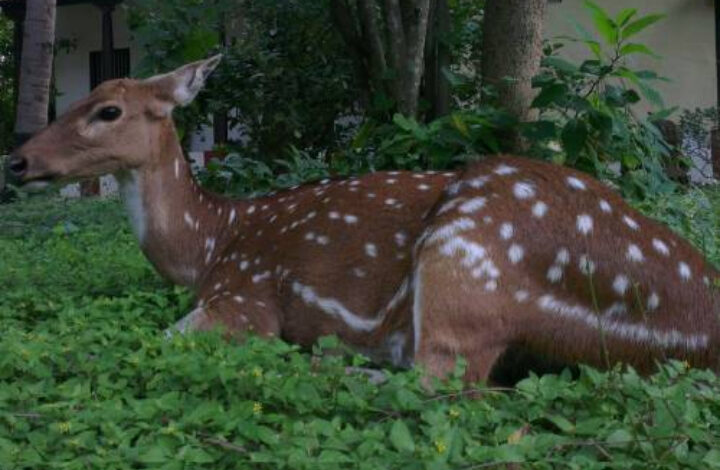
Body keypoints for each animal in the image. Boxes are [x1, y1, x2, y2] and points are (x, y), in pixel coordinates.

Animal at [9, 56, 720, 386]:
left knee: (444, 381)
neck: (211, 243)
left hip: (467, 252)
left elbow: (163, 338)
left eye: (107, 110)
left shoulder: (245, 295)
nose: (17, 161)